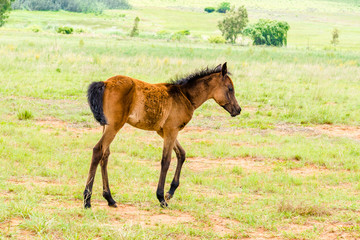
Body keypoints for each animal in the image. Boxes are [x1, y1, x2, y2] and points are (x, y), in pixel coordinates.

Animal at [83, 62, 242, 208]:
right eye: (230, 88)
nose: (238, 110)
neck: (185, 96)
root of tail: (106, 83)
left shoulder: (164, 131)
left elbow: (181, 154)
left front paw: (170, 192)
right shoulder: (172, 130)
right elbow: (166, 161)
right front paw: (161, 198)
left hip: (107, 126)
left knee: (105, 155)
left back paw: (109, 198)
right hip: (115, 126)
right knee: (98, 151)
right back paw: (87, 200)